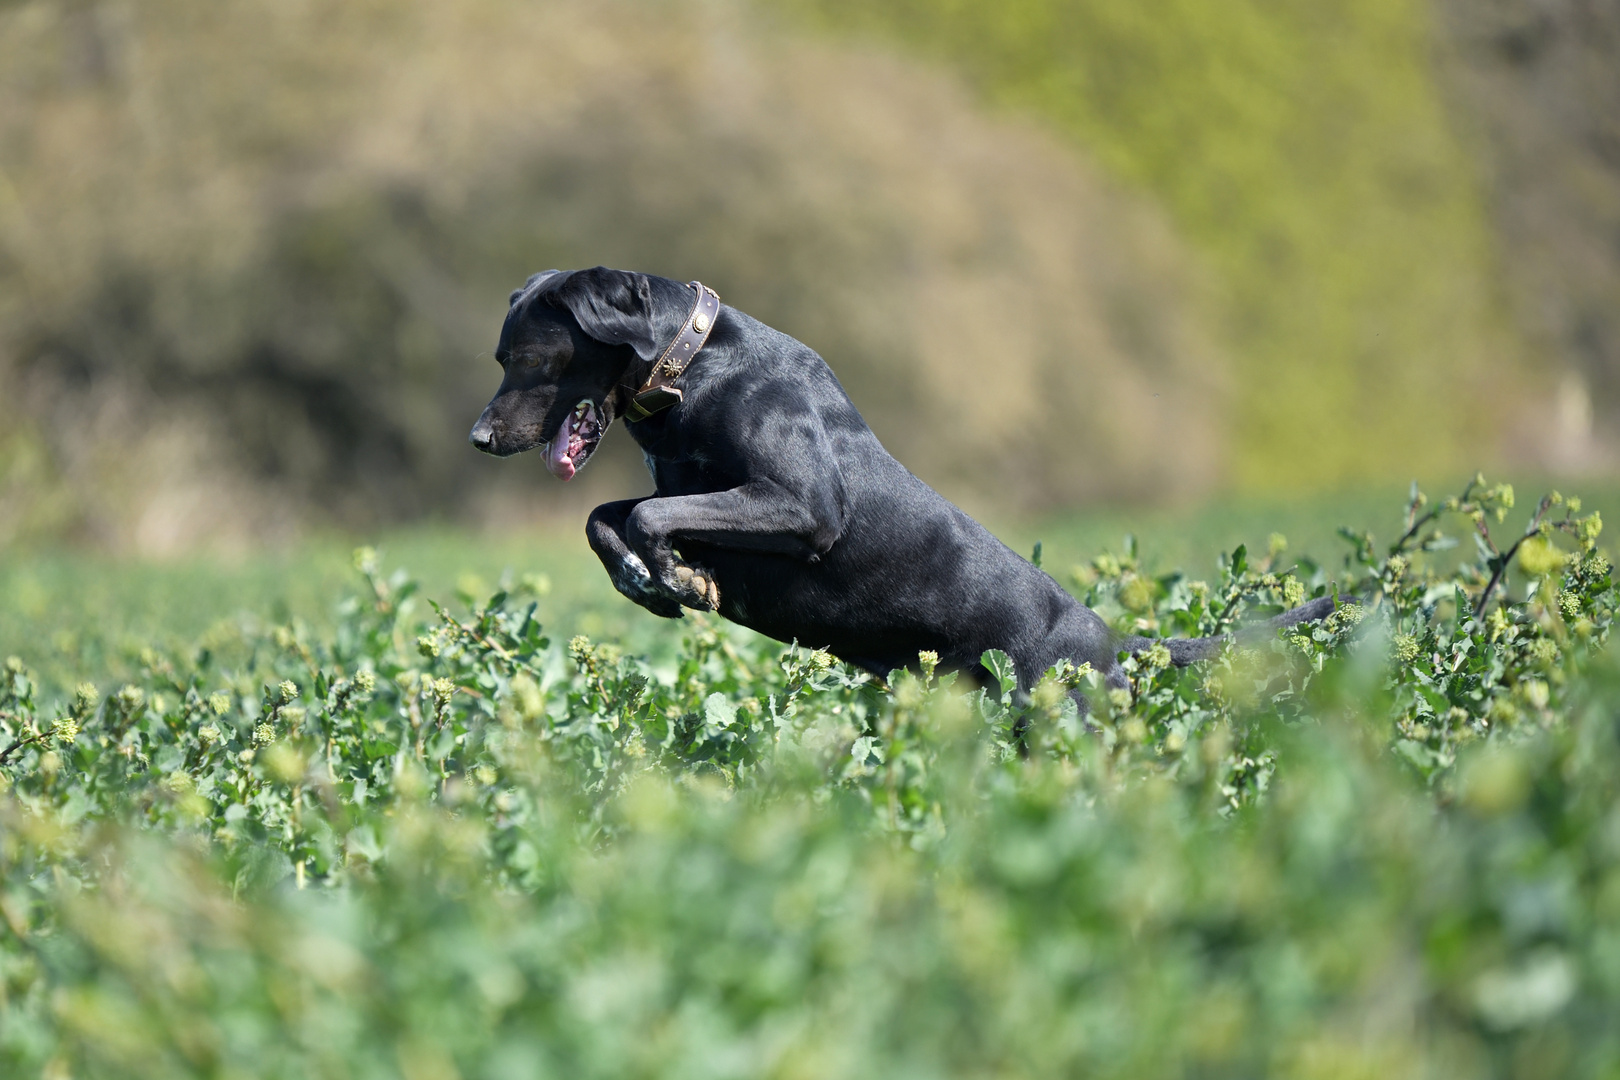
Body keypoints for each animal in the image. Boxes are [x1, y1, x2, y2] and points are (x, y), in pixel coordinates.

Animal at [469, 265, 1341, 696]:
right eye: (502, 356)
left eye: (528, 356)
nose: (479, 439)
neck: (693, 368)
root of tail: (1114, 640)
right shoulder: (681, 487)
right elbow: (607, 516)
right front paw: (648, 582)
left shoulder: (803, 507)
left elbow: (650, 520)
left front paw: (679, 580)